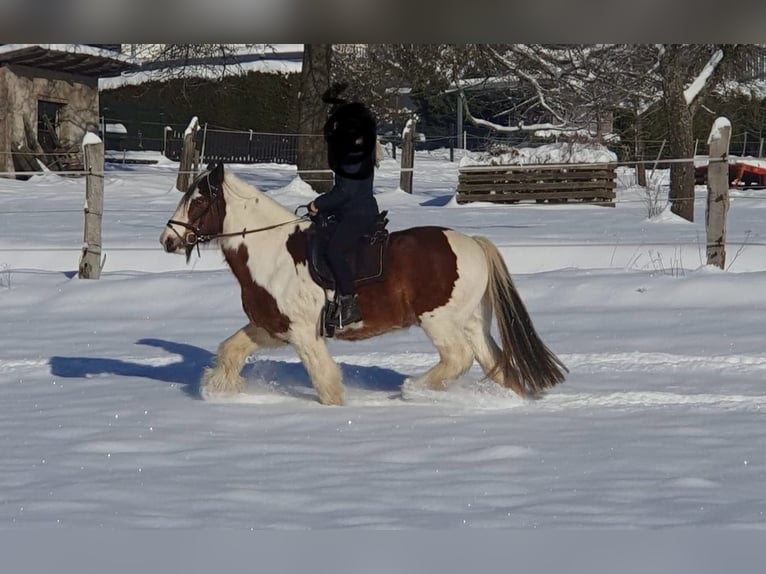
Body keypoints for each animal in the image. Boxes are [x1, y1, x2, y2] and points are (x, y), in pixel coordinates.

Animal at [162, 162, 568, 404]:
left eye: (197, 203)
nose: (168, 240)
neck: (271, 252)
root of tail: (472, 243)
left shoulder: (305, 334)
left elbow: (325, 382)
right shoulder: (272, 327)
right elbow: (230, 350)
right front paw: (219, 388)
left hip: (438, 320)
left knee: (458, 357)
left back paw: (414, 389)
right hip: (471, 322)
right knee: (496, 363)